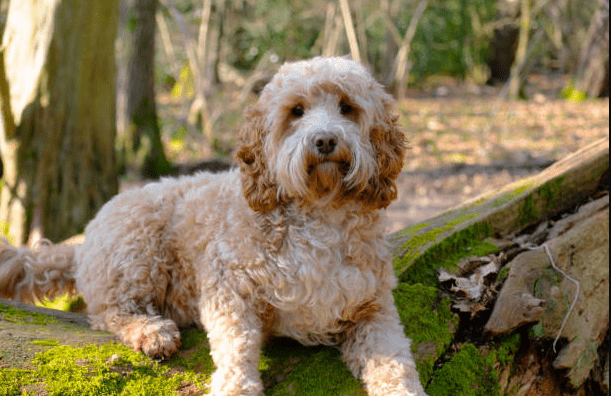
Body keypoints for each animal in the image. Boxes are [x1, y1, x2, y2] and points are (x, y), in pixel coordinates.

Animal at [0, 56, 428, 396]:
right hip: (137, 246)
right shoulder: (228, 287)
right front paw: (236, 387)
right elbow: (237, 343)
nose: (324, 140)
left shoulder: (372, 307)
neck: (318, 213)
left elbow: (395, 360)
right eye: (297, 111)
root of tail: (84, 240)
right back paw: (151, 331)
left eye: (347, 107)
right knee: (109, 312)